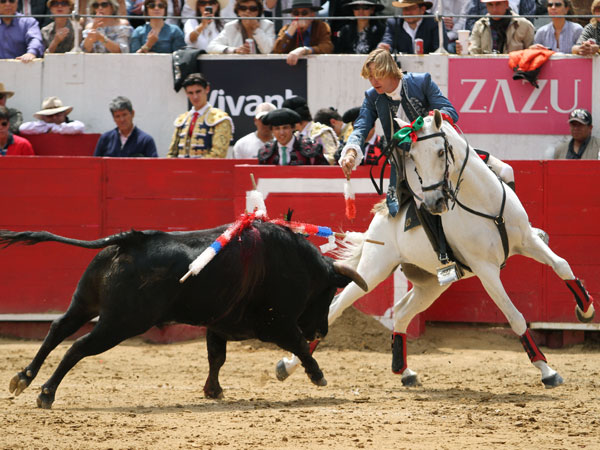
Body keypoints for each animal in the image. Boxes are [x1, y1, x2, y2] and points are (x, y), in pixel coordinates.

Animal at [0, 221, 368, 408]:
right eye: (328, 292)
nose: (321, 331)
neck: (298, 265)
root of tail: (129, 241)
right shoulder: (276, 324)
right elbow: (299, 347)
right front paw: (318, 375)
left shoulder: (219, 323)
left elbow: (216, 357)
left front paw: (213, 391)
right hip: (121, 323)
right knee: (78, 346)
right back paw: (46, 393)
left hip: (85, 303)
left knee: (58, 329)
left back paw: (23, 378)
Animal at [278, 110, 596, 388]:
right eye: (412, 157)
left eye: (442, 152)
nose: (434, 203)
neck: (485, 204)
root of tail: (381, 215)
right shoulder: (486, 270)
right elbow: (515, 316)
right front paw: (547, 371)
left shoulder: (528, 240)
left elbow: (562, 265)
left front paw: (586, 309)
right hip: (374, 269)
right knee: (337, 306)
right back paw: (289, 365)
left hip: (430, 284)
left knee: (401, 312)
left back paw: (404, 371)